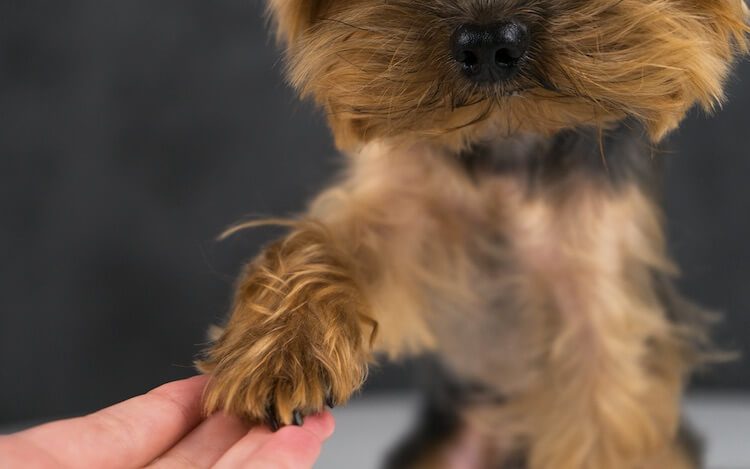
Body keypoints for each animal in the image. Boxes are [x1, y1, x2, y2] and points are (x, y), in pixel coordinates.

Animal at [197, 1, 748, 466]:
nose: (487, 42)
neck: (509, 138)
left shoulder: (600, 291)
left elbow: (602, 411)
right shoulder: (402, 215)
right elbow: (325, 242)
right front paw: (285, 353)